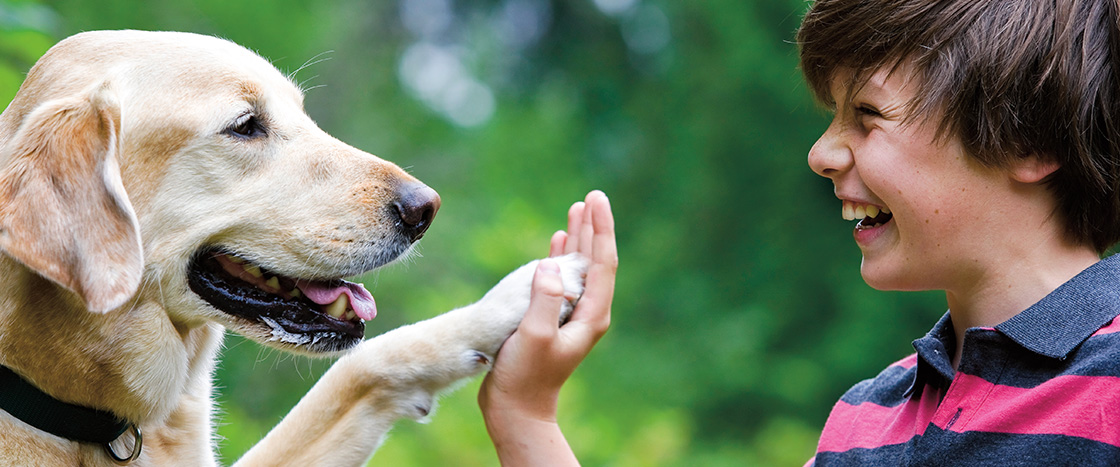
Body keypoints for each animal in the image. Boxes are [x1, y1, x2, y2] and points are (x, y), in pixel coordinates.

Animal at [0, 30, 586, 463]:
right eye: (245, 126)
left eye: (304, 114)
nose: (426, 209)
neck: (96, 427)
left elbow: (360, 366)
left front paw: (521, 295)